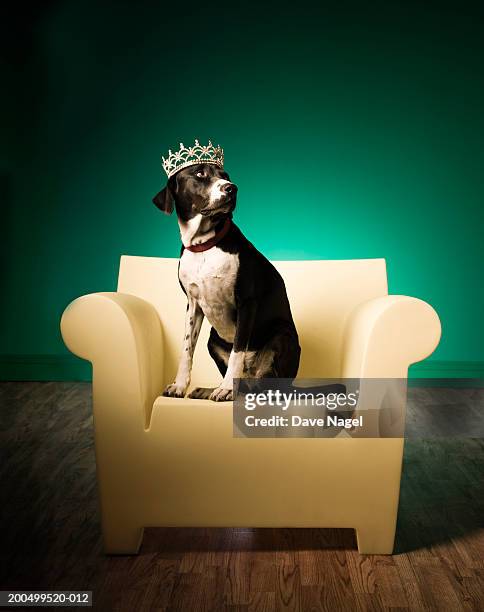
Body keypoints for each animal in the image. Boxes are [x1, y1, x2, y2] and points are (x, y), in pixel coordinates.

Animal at [153, 145, 300, 402]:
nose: (232, 188)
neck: (205, 245)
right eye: (200, 174)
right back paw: (207, 390)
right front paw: (179, 385)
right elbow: (186, 349)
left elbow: (237, 351)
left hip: (282, 336)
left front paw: (226, 389)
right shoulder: (193, 304)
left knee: (275, 389)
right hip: (212, 340)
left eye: (226, 176)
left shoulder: (247, 302)